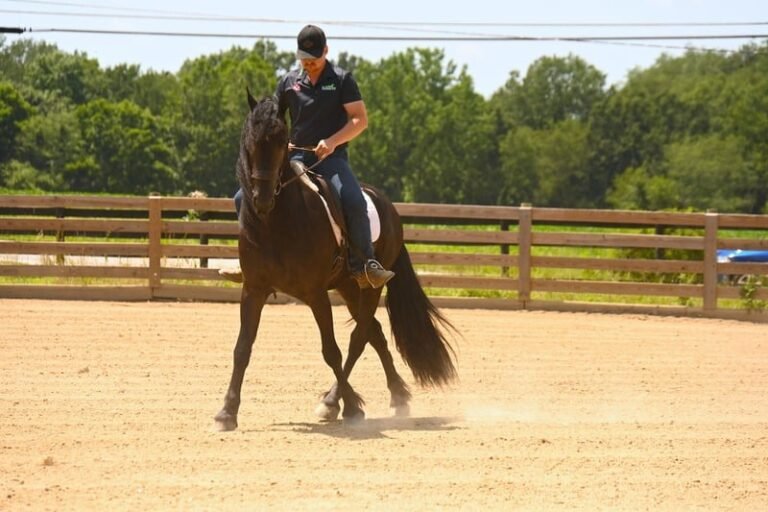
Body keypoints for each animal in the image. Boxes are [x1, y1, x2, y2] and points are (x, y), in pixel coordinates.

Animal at [214, 92, 457, 431]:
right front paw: (227, 412)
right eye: (249, 141)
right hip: (348, 287)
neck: (277, 222)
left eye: (282, 140)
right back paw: (397, 396)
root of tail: (386, 205)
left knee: (359, 338)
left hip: (369, 288)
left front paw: (349, 406)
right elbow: (242, 348)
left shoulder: (316, 294)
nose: (262, 198)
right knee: (375, 334)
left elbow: (331, 350)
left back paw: (334, 401)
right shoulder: (253, 290)